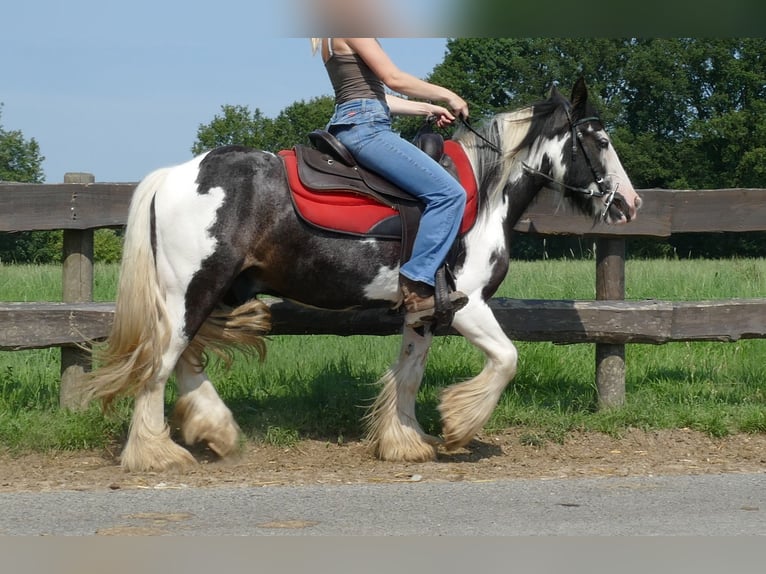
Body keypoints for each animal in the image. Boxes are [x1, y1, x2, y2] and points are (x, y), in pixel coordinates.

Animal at [79, 77, 640, 472]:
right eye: (600, 140)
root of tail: (173, 176)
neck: (481, 196)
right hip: (191, 291)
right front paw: (459, 424)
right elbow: (506, 359)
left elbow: (410, 373)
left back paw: (216, 431)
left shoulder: (424, 311)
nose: (630, 205)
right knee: (160, 361)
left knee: (185, 359)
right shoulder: (469, 305)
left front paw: (405, 442)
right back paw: (155, 454)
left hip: (212, 293)